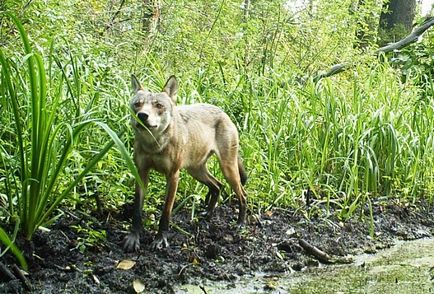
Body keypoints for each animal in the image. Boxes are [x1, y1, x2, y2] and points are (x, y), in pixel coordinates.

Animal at [124, 74, 249, 252]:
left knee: (242, 195)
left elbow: (166, 213)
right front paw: (133, 238)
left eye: (159, 105)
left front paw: (161, 240)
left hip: (228, 170)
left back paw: (240, 224)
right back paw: (208, 214)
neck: (154, 146)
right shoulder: (141, 173)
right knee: (217, 186)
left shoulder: (173, 176)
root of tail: (223, 112)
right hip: (196, 171)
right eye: (137, 104)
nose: (142, 115)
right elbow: (136, 211)